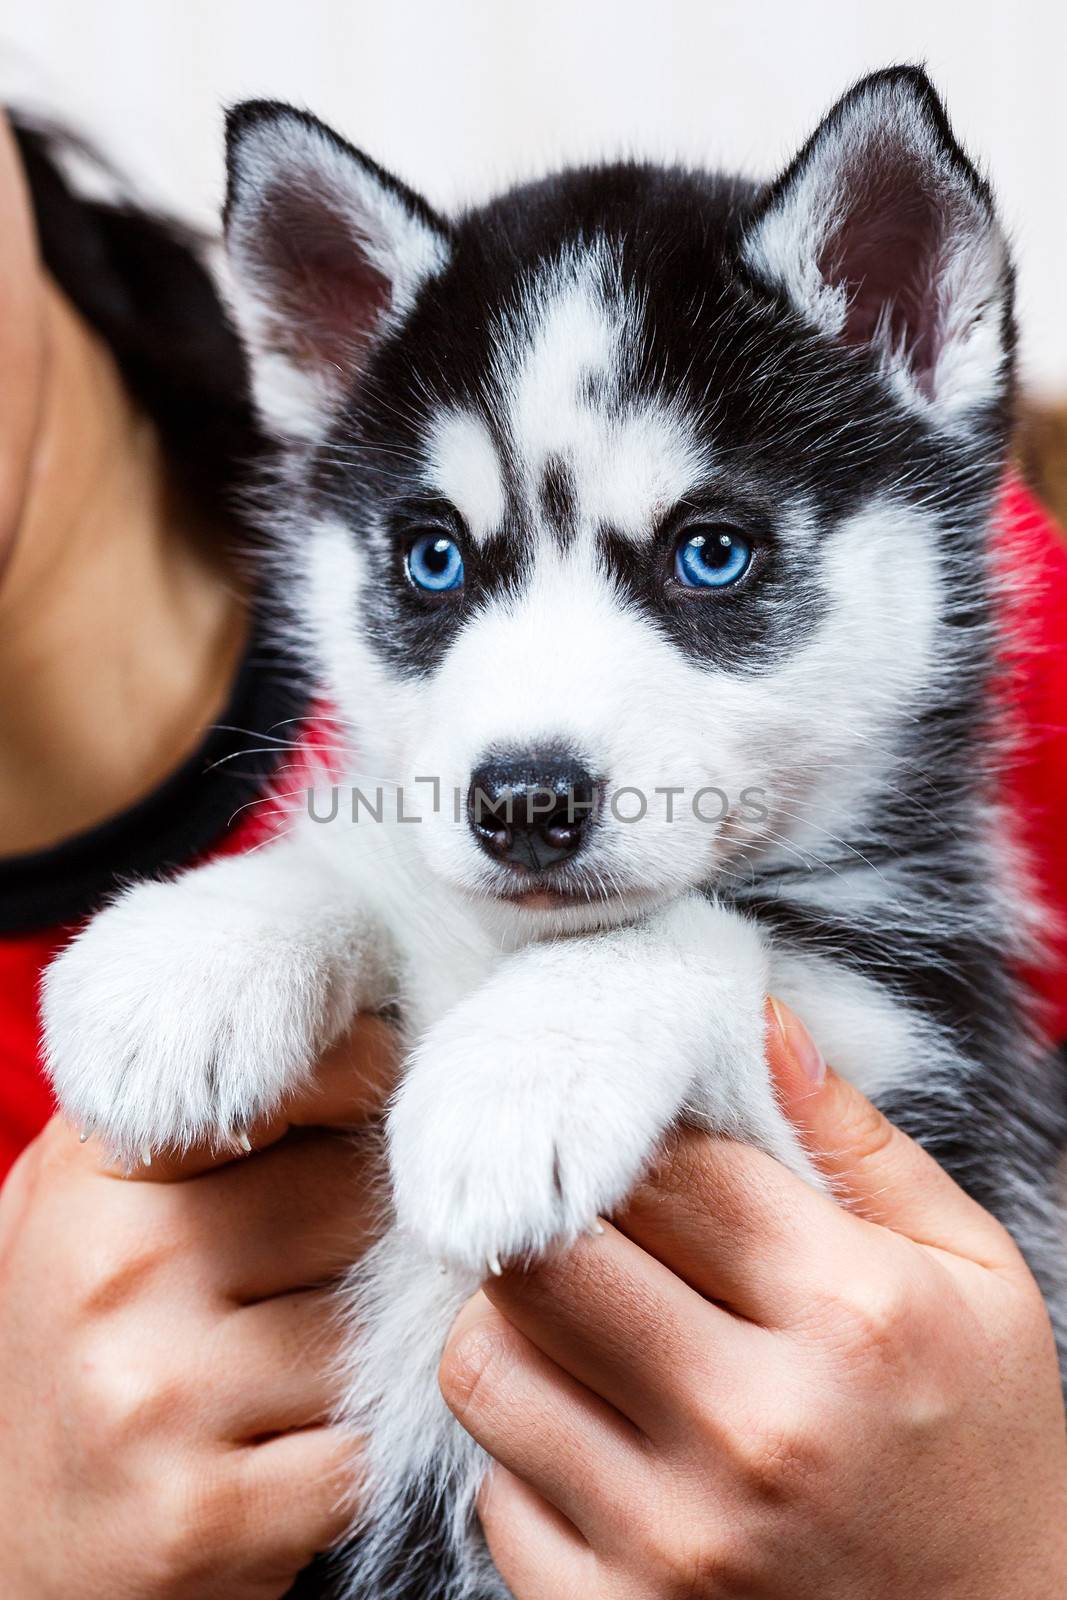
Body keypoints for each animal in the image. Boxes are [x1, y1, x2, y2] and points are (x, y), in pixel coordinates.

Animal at [41, 62, 1067, 1600]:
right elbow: (369, 857)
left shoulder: (916, 1099)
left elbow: (694, 934)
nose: (522, 801)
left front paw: (526, 1068)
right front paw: (192, 962)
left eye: (711, 552)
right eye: (432, 558)